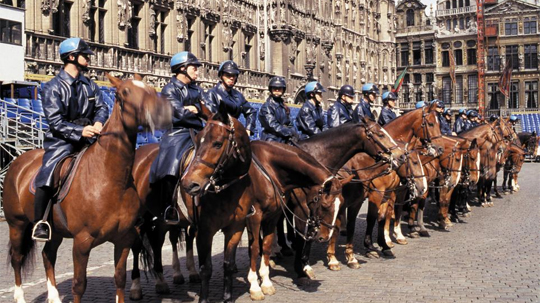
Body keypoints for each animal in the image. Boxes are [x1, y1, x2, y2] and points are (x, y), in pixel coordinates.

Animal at [2, 74, 171, 303]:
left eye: (150, 89)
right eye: (124, 93)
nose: (162, 112)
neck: (109, 179)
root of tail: (19, 161)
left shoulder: (124, 239)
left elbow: (120, 279)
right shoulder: (82, 241)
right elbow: (79, 284)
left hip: (54, 231)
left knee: (48, 255)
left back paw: (54, 297)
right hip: (17, 224)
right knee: (17, 258)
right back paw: (20, 296)